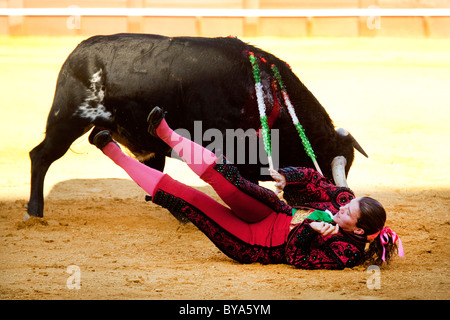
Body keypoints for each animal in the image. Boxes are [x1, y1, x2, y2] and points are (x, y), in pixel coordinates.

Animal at [26, 33, 368, 218]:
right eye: (326, 169)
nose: (343, 203)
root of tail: (77, 52)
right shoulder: (233, 154)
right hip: (68, 118)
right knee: (40, 156)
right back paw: (34, 212)